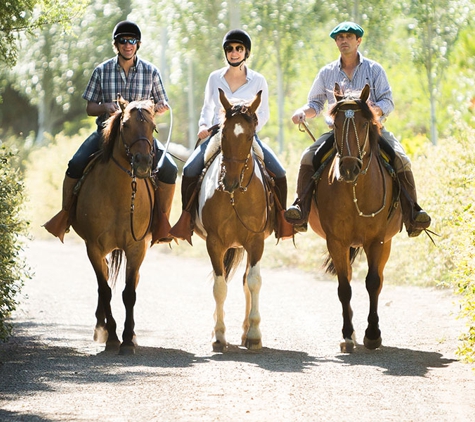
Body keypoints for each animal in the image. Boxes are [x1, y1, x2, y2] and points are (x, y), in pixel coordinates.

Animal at [71, 98, 156, 352]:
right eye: (125, 125)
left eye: (152, 126)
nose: (143, 163)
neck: (119, 195)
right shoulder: (93, 246)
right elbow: (105, 290)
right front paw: (112, 337)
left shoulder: (137, 247)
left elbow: (129, 293)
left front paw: (128, 339)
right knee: (105, 279)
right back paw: (102, 328)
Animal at [193, 87, 276, 352]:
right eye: (224, 134)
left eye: (249, 137)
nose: (228, 181)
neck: (234, 196)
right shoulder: (215, 243)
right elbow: (219, 287)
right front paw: (219, 335)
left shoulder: (256, 241)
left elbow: (253, 282)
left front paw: (254, 334)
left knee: (246, 282)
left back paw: (246, 331)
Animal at [308, 83, 402, 352]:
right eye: (336, 124)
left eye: (363, 124)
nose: (349, 168)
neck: (355, 189)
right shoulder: (336, 241)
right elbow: (344, 288)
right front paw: (348, 335)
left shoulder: (376, 240)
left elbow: (372, 283)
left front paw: (373, 334)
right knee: (348, 279)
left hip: (386, 243)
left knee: (379, 280)